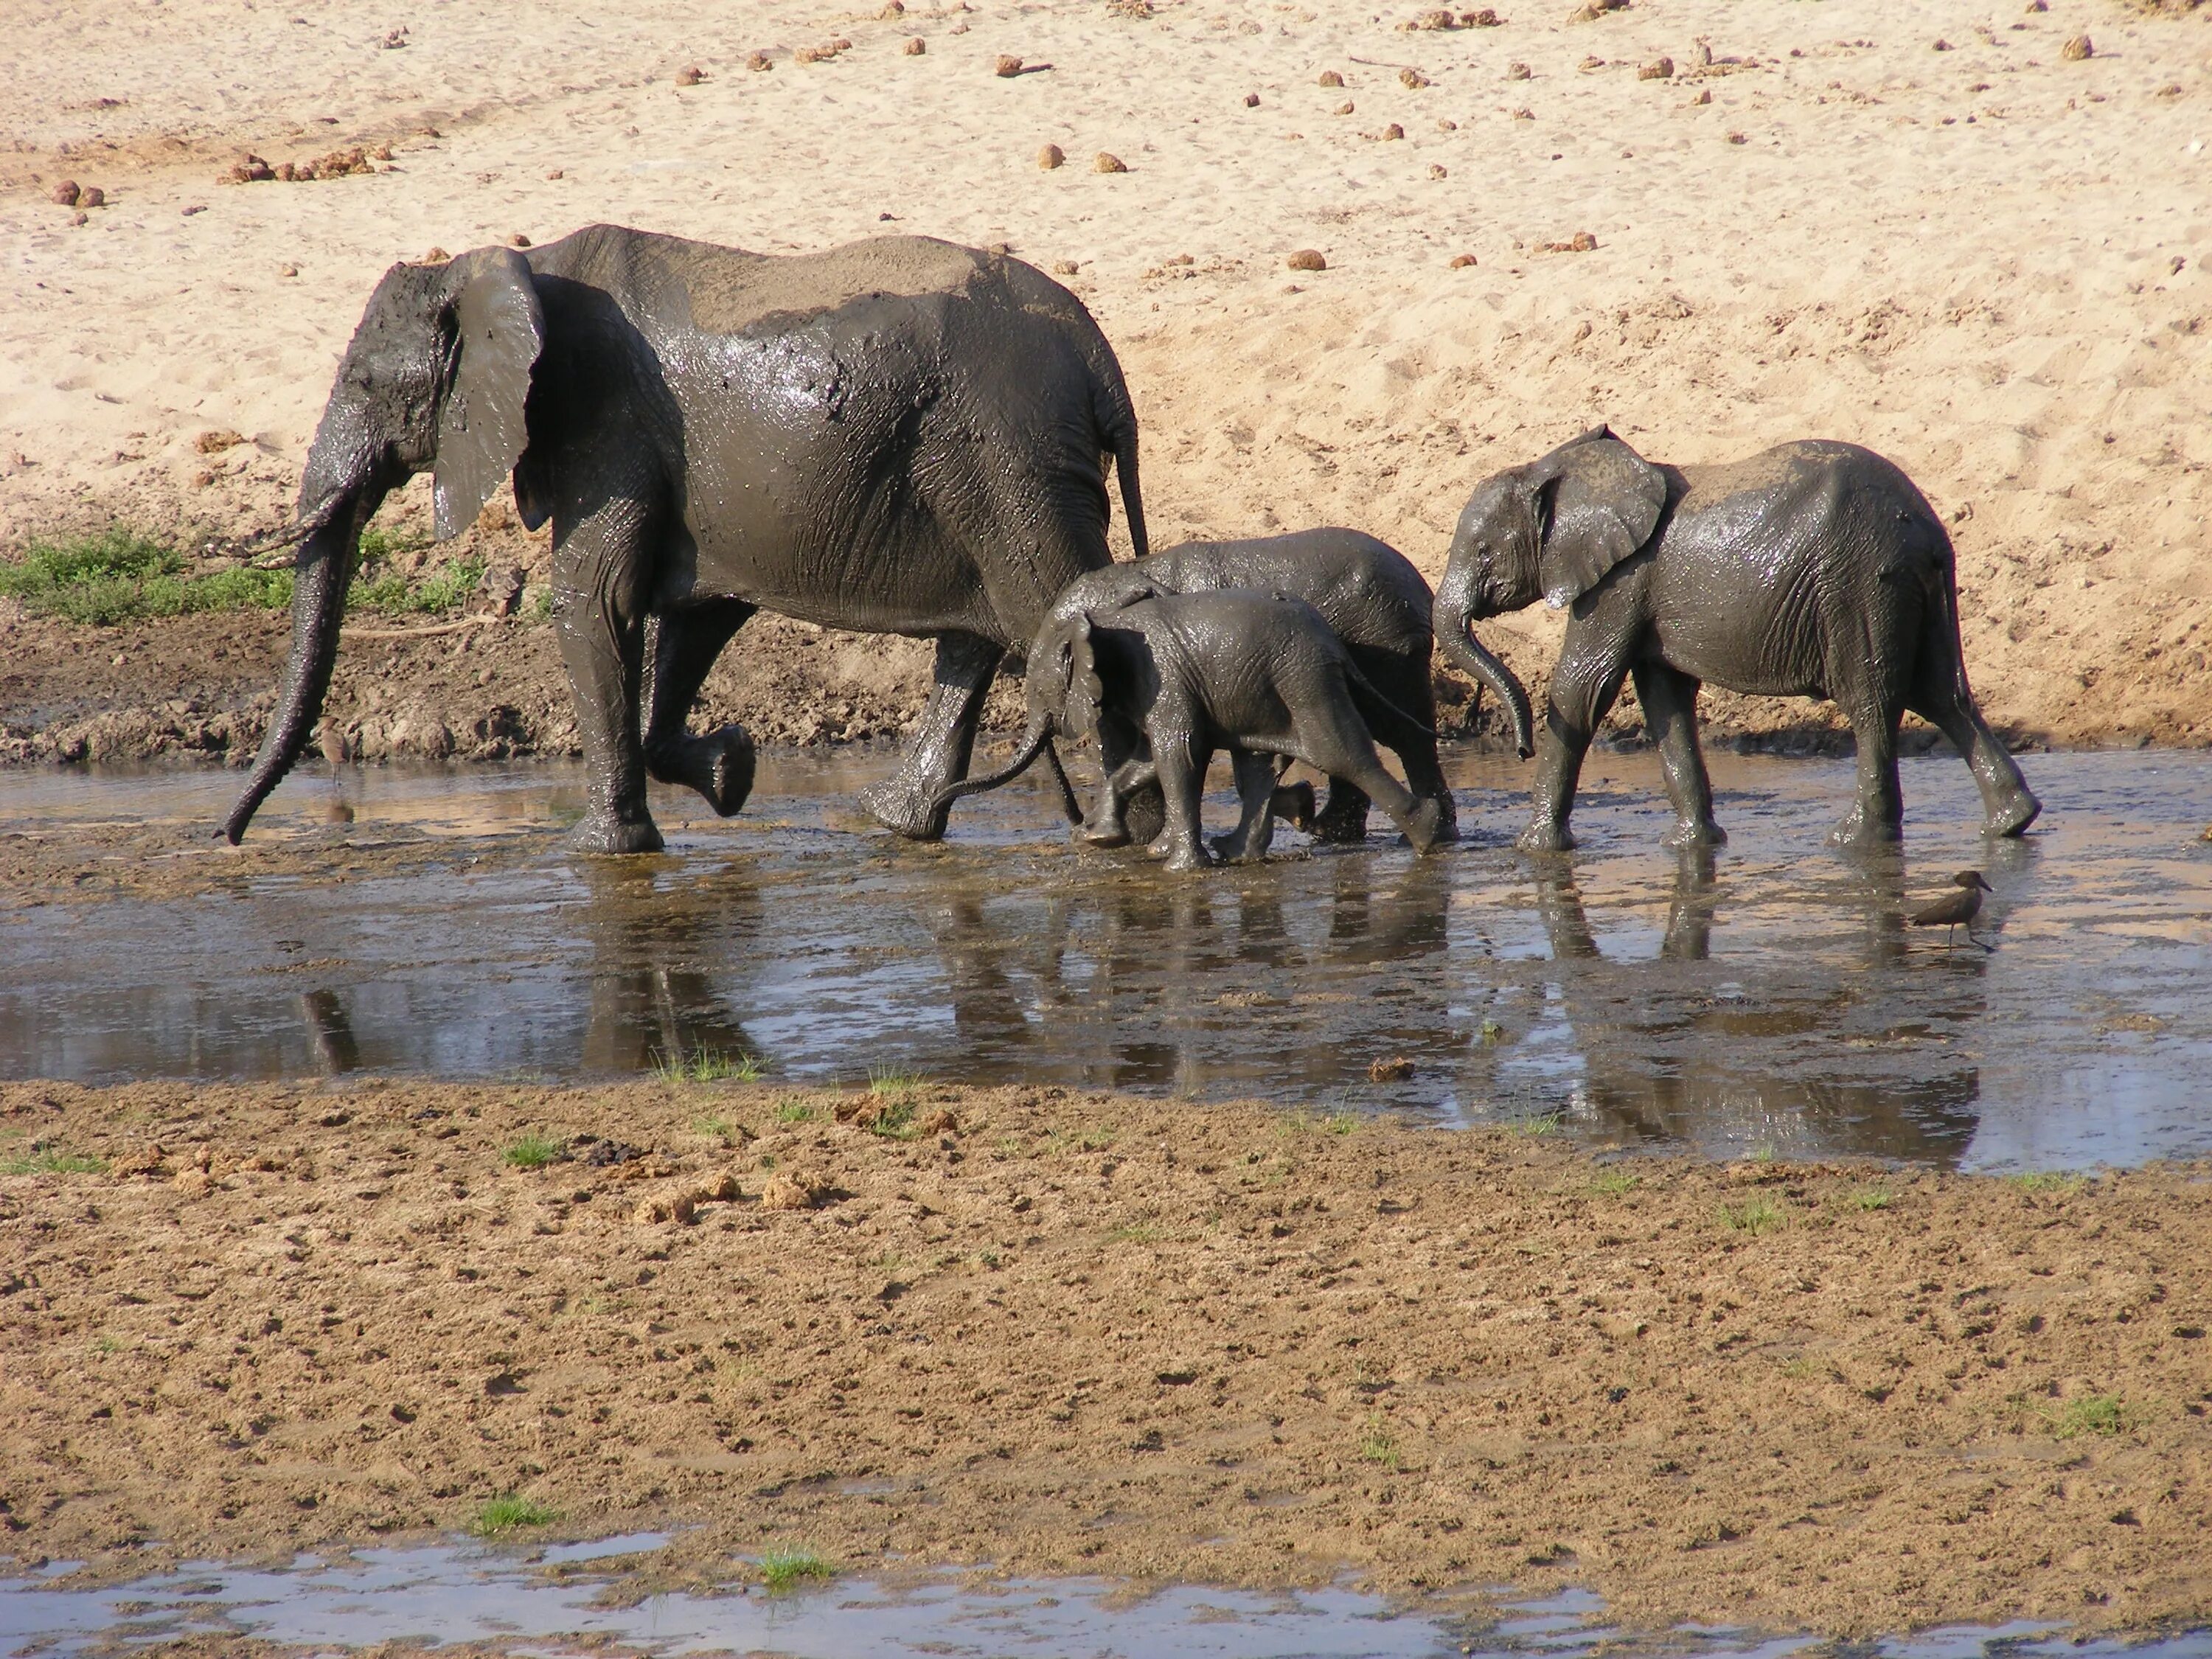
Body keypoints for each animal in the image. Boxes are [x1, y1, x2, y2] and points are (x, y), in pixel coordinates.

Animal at [224, 228, 1150, 849]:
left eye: (363, 383)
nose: (229, 837)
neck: (505, 268)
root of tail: (1103, 361)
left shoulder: (604, 422)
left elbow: (594, 602)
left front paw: (601, 853)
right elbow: (697, 616)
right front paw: (733, 773)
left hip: (1011, 459)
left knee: (1059, 621)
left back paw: (1132, 838)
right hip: (983, 476)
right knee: (976, 639)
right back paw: (883, 823)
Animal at [933, 593, 1451, 872]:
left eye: (1041, 693)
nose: (942, 798)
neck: (1104, 623)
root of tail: (1335, 646)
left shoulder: (1164, 678)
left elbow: (1177, 753)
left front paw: (1175, 867)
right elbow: (1145, 761)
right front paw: (1102, 841)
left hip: (1303, 680)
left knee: (1339, 753)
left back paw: (1425, 836)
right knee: (1260, 763)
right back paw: (1241, 852)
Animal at [1031, 529, 1486, 845]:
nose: (1077, 825)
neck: (1136, 568)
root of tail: (1424, 588)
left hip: (1388, 642)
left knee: (1398, 733)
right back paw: (1339, 832)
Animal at [1433, 425, 2035, 858]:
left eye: (1484, 553)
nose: (1519, 748)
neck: (1557, 471)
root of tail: (1928, 531)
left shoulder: (1619, 582)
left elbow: (1582, 691)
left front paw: (1533, 851)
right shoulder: (1639, 592)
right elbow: (1665, 702)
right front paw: (1691, 847)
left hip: (1861, 581)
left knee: (1872, 701)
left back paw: (1854, 842)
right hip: (1912, 585)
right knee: (1940, 694)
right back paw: (2012, 822)